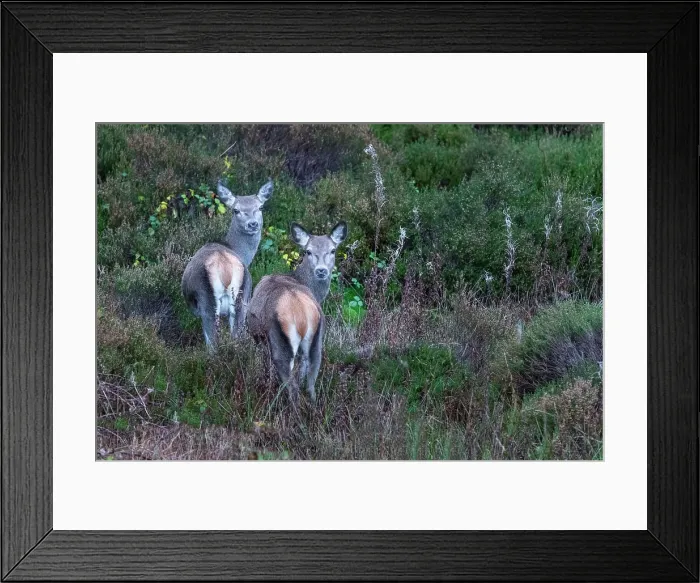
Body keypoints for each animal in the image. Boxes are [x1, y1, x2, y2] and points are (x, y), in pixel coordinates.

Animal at [181, 178, 273, 350]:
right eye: (236, 210)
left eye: (260, 207)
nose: (252, 224)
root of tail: (224, 268)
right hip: (241, 299)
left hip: (208, 303)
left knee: (213, 345)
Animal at [246, 221, 348, 407]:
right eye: (308, 251)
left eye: (332, 250)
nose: (321, 270)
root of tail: (301, 314)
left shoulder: (259, 338)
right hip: (318, 339)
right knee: (311, 382)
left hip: (279, 342)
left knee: (292, 387)